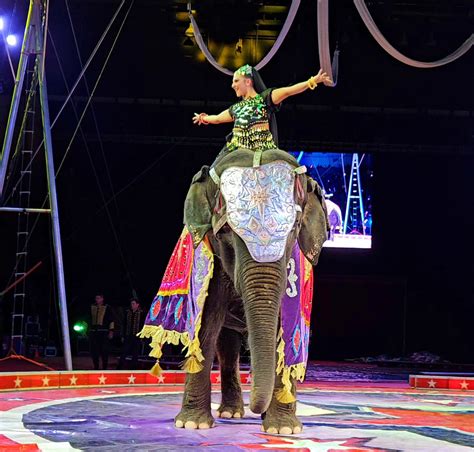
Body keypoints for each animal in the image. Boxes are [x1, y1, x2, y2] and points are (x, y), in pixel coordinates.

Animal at [139, 148, 328, 434]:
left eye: (295, 228)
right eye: (225, 231)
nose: (257, 409)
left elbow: (284, 333)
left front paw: (282, 429)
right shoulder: (213, 261)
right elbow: (206, 323)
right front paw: (192, 424)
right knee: (226, 347)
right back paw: (231, 412)